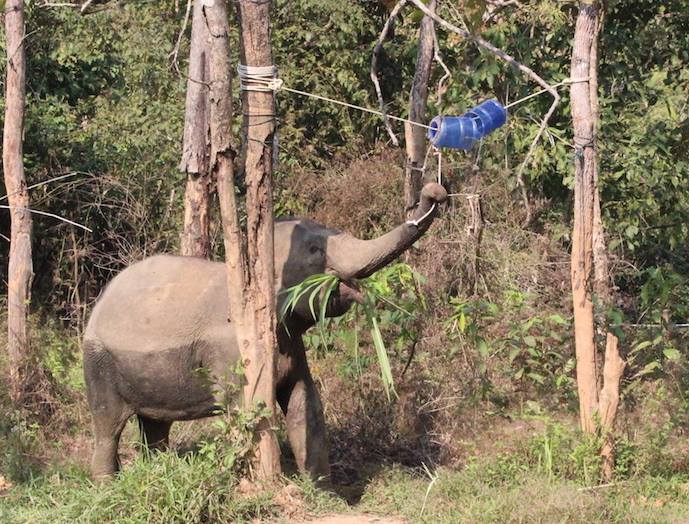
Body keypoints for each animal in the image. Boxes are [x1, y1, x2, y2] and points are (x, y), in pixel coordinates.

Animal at [83, 182, 446, 482]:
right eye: (314, 250)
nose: (434, 192)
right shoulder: (232, 352)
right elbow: (248, 407)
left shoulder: (292, 344)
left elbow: (305, 404)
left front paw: (323, 491)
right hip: (98, 364)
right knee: (107, 425)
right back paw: (107, 485)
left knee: (156, 425)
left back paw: (159, 471)